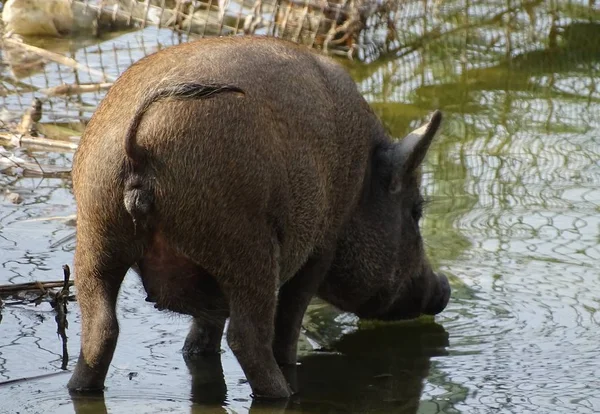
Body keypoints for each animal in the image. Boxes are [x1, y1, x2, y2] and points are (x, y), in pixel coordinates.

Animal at [67, 35, 450, 398]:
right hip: (244, 242)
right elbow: (289, 317)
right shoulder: (321, 245)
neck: (359, 186)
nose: (443, 288)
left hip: (95, 233)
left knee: (101, 330)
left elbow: (204, 332)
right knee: (247, 337)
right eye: (415, 211)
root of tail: (140, 144)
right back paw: (284, 393)